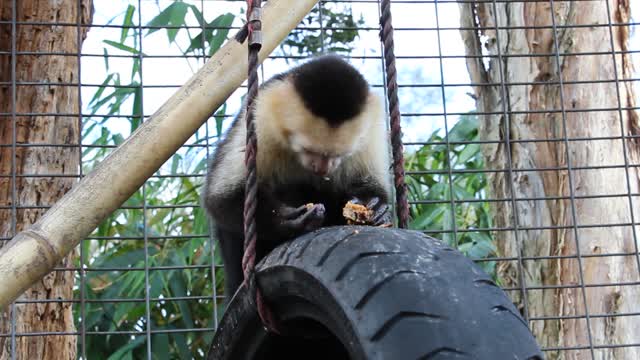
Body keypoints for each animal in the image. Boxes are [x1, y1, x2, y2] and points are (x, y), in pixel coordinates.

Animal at [202, 54, 392, 298]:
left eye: (339, 155)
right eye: (308, 149)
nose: (322, 168)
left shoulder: (371, 128)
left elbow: (368, 181)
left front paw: (373, 204)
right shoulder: (261, 116)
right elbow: (220, 199)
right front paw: (282, 218)